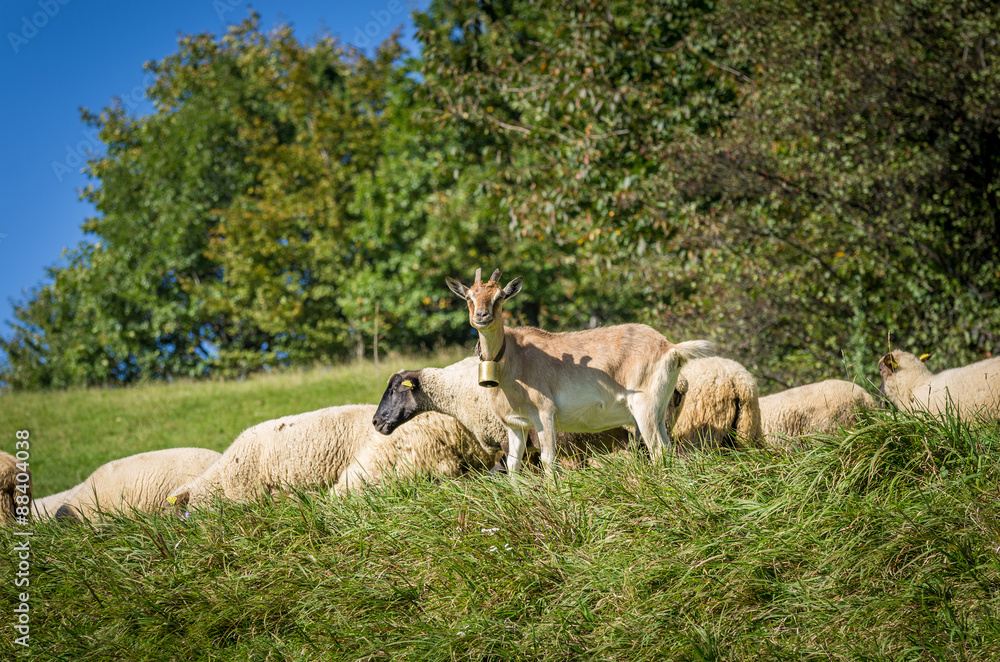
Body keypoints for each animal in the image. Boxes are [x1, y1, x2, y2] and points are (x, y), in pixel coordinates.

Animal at [445, 267, 714, 474]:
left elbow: (548, 460)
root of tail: (670, 347)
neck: (512, 357)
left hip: (643, 407)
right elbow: (513, 466)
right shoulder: (515, 424)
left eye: (500, 297)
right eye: (469, 297)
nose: (482, 316)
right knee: (667, 448)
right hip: (659, 411)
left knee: (657, 450)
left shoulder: (544, 413)